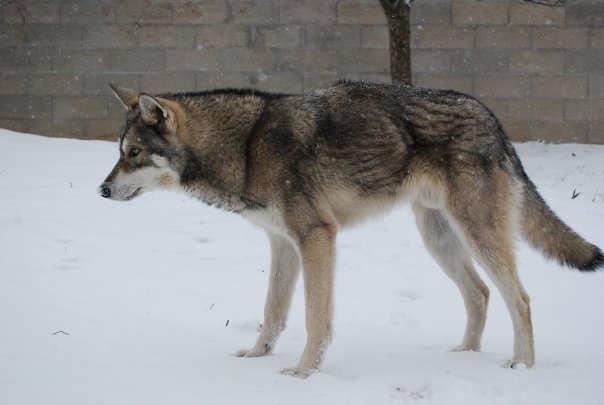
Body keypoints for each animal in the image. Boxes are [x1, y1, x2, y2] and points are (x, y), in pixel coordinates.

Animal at [96, 80, 600, 378]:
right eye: (121, 152)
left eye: (134, 153)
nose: (100, 189)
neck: (245, 147)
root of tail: (493, 119)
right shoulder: (282, 244)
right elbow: (272, 312)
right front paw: (257, 359)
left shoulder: (317, 237)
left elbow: (314, 318)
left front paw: (302, 374)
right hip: (438, 238)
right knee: (480, 293)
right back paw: (463, 356)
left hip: (477, 234)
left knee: (521, 298)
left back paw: (522, 366)